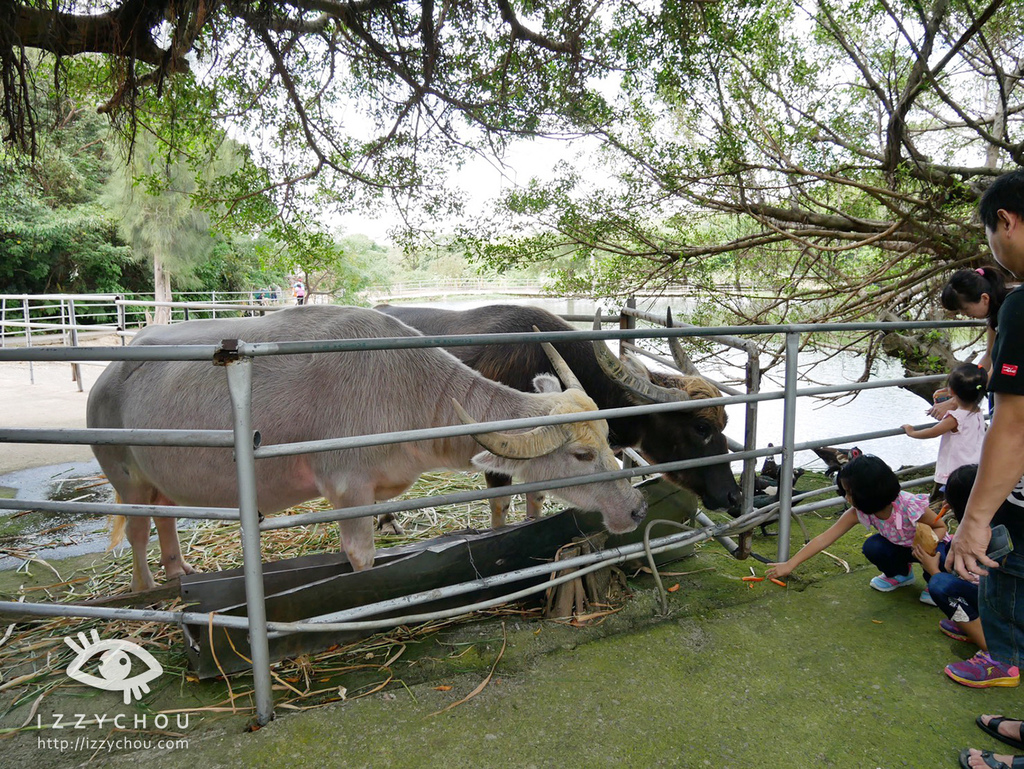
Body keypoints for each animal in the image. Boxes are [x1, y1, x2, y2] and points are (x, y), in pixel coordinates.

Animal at [90, 303, 647, 593]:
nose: (637, 507)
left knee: (165, 520)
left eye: (609, 441)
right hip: (127, 479)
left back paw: (179, 571)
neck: (405, 387)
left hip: (159, 481)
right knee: (137, 530)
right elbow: (360, 555)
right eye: (581, 456)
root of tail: (105, 381)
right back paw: (145, 588)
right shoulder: (347, 490)